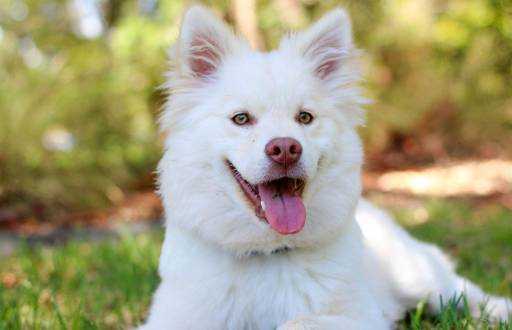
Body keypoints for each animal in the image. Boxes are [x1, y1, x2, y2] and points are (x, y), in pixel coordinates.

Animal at [139, 6, 508, 328]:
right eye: (241, 119)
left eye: (305, 118)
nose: (285, 149)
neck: (268, 252)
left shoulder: (359, 316)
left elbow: (296, 323)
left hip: (417, 275)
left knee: (460, 291)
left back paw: (499, 310)